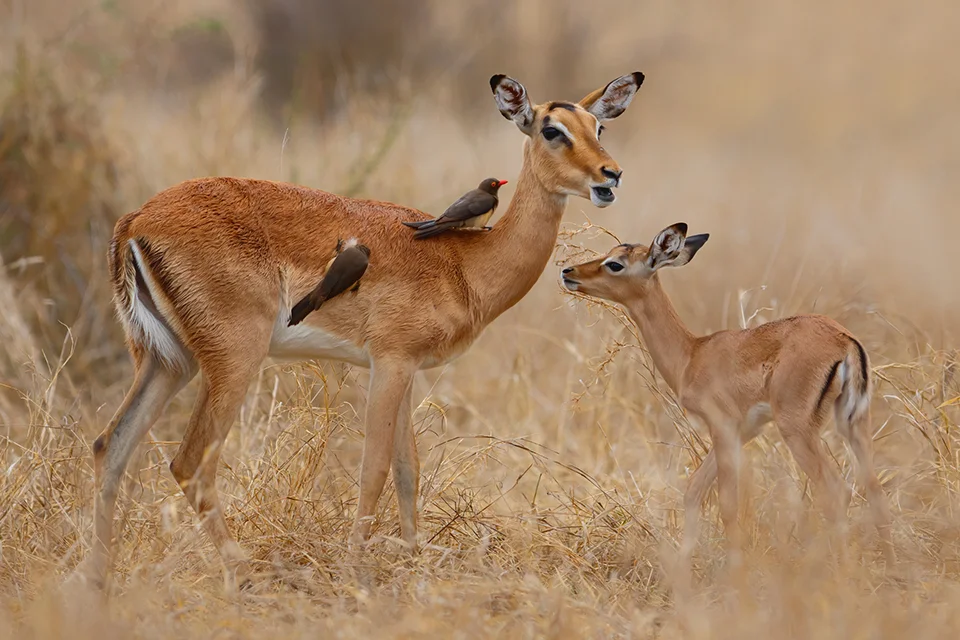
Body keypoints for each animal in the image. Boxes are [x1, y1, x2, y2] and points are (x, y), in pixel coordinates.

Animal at [85, 71, 646, 589]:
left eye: (598, 125)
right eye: (552, 129)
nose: (612, 175)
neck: (464, 264)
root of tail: (136, 221)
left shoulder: (405, 369)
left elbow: (407, 469)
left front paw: (413, 562)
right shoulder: (390, 362)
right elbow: (373, 467)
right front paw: (357, 571)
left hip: (167, 361)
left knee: (110, 445)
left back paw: (99, 583)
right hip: (232, 360)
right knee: (189, 463)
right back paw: (248, 574)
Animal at [560, 223, 895, 573]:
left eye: (615, 264)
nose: (568, 272)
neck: (692, 354)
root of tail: (844, 340)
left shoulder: (722, 427)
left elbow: (727, 505)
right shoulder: (742, 432)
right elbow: (693, 490)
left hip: (797, 429)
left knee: (836, 491)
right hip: (853, 424)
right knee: (875, 491)